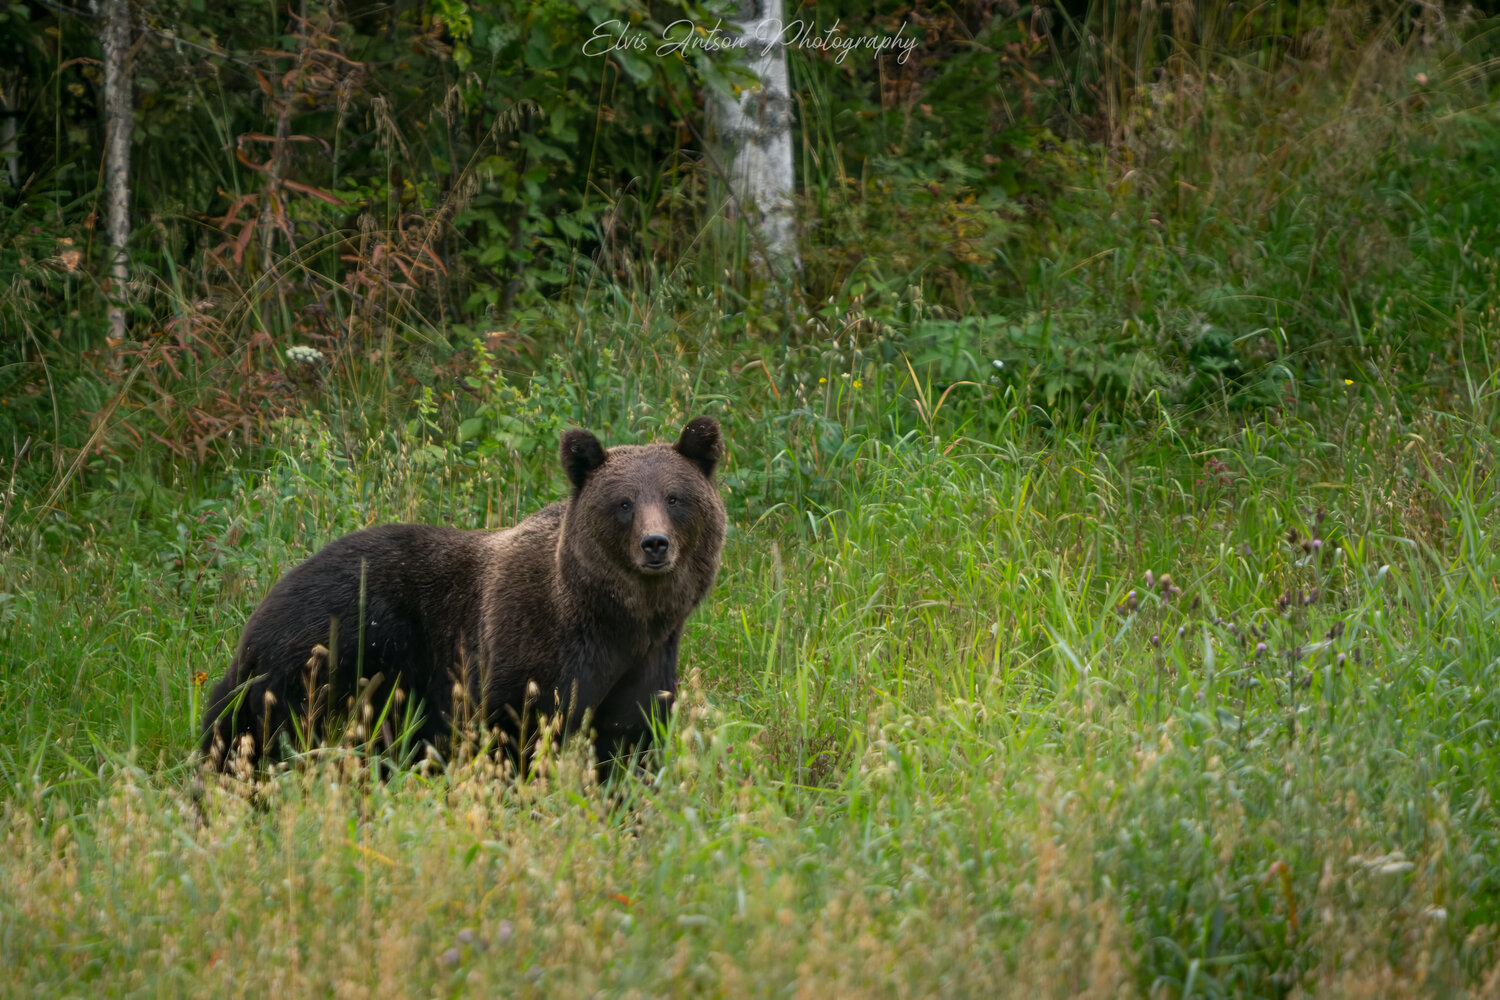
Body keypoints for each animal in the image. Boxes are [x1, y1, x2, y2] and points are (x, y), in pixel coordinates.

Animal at [199, 416, 726, 776]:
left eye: (674, 498)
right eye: (623, 503)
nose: (654, 544)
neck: (614, 619)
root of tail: (260, 611)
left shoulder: (645, 661)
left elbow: (630, 741)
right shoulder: (528, 652)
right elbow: (514, 736)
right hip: (338, 648)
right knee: (264, 736)